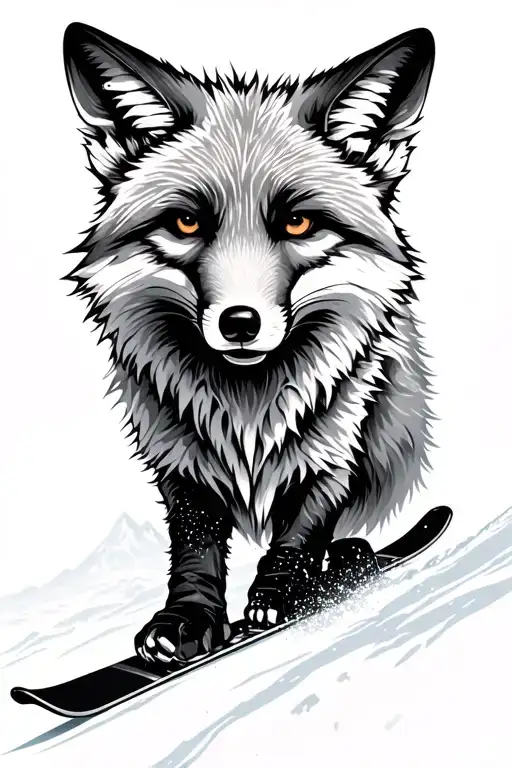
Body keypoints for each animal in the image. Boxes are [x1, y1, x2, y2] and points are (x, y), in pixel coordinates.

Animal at [62, 22, 435, 664]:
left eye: (298, 223)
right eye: (186, 224)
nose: (240, 323)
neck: (247, 407)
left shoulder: (336, 442)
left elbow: (304, 526)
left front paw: (282, 595)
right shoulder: (178, 453)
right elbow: (194, 545)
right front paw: (188, 619)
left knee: (349, 539)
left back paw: (351, 565)